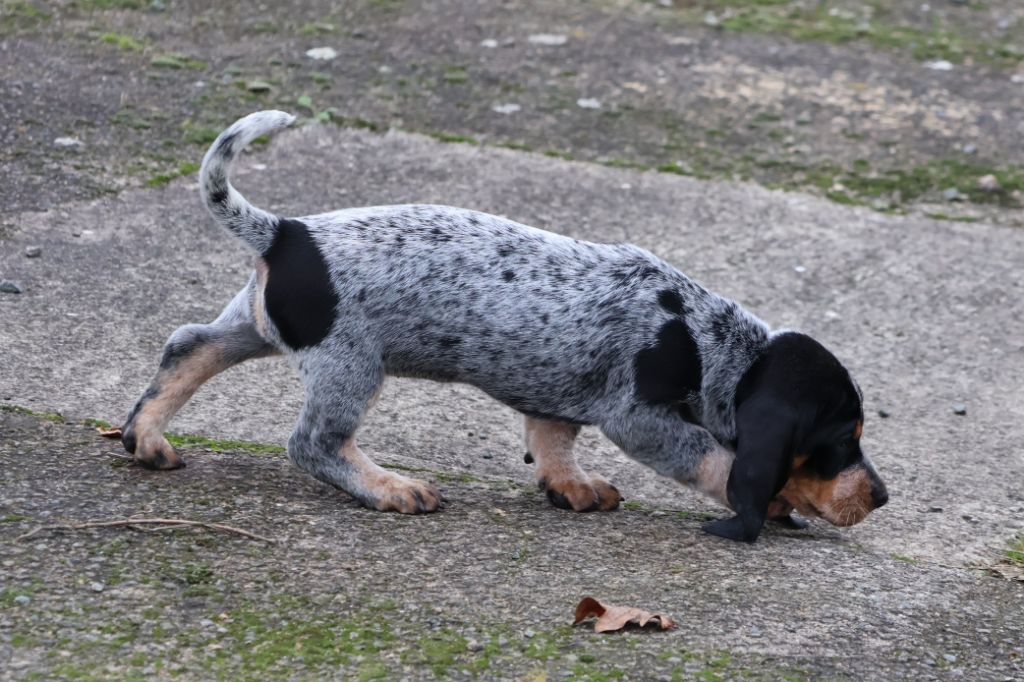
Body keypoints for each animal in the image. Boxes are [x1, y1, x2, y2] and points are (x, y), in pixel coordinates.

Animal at [119, 109, 888, 540]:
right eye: (840, 440)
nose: (880, 497)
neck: (712, 343)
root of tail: (286, 232)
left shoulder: (559, 393)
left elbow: (551, 440)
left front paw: (569, 485)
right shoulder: (638, 417)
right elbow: (716, 460)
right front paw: (769, 498)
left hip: (257, 325)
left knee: (187, 346)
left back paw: (148, 436)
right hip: (349, 364)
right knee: (314, 443)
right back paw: (390, 488)